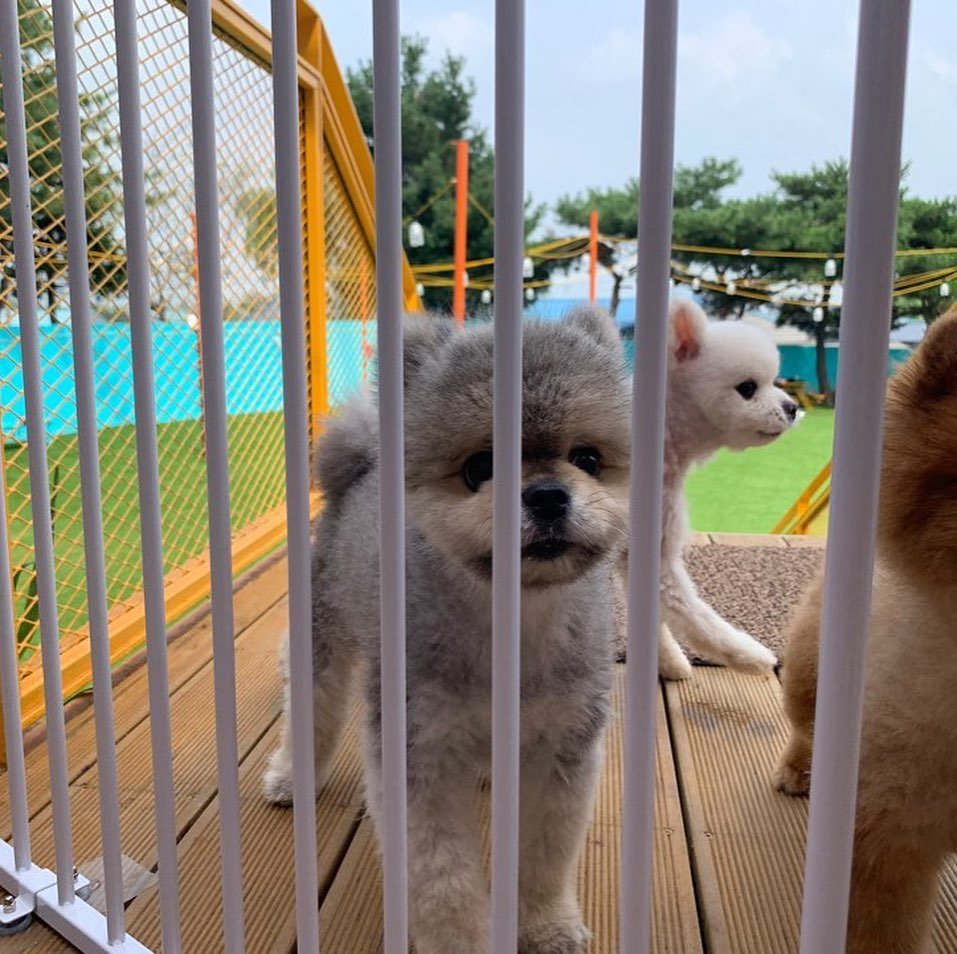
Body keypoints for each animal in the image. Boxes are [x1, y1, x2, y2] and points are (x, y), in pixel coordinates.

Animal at [266, 308, 632, 948]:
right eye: (479, 467)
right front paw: (460, 944)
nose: (547, 495)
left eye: (587, 458)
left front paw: (546, 925)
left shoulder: (564, 749)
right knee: (311, 709)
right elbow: (443, 881)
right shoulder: (420, 752)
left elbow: (545, 858)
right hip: (324, 637)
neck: (510, 625)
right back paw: (292, 775)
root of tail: (360, 466)